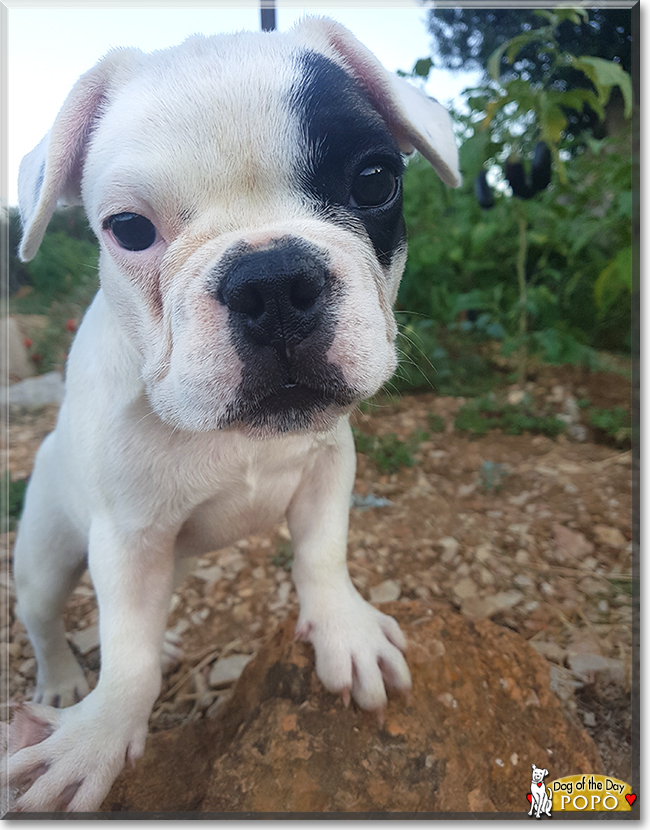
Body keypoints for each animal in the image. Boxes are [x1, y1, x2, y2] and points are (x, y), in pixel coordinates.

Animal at [7, 17, 458, 812]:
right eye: (128, 229)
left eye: (375, 180)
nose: (272, 281)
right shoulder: (127, 538)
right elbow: (126, 655)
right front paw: (96, 737)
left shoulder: (327, 465)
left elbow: (322, 553)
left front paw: (343, 629)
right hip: (45, 556)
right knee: (46, 619)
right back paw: (61, 684)